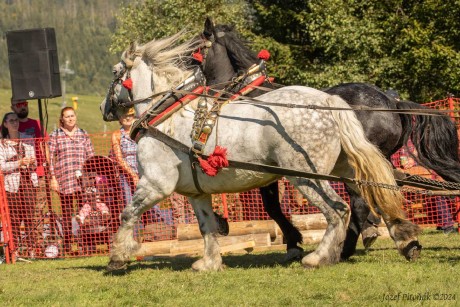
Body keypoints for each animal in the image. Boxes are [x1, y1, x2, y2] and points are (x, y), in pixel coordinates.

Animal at [199, 18, 460, 262]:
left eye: (197, 47)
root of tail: (392, 103)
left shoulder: (263, 168)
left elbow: (272, 207)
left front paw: (293, 243)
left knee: (360, 201)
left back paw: (347, 246)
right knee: (382, 190)